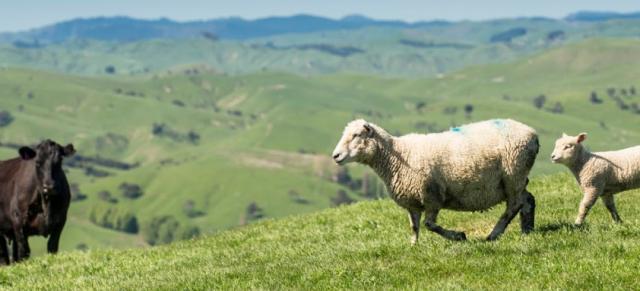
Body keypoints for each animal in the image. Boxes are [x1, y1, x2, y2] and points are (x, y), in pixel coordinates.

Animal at [332, 120, 536, 243]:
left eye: (356, 135)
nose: (335, 156)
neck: (396, 155)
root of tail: (532, 133)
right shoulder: (412, 202)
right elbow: (414, 226)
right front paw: (413, 246)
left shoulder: (432, 196)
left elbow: (429, 224)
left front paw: (458, 236)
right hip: (516, 179)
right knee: (528, 199)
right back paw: (527, 229)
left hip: (512, 174)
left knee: (514, 205)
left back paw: (494, 234)